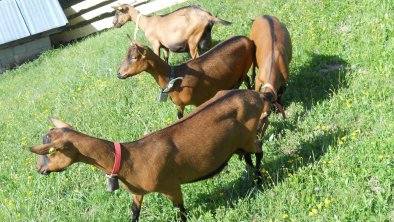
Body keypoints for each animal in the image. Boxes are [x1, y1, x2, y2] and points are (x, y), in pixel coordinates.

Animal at [29, 90, 272, 222]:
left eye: (51, 151)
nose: (40, 170)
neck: (129, 158)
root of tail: (256, 94)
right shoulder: (137, 193)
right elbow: (134, 213)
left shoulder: (170, 185)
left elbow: (180, 212)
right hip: (240, 141)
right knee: (248, 157)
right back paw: (253, 178)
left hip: (249, 135)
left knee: (259, 152)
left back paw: (259, 182)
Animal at [115, 35, 254, 118]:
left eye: (134, 57)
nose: (118, 73)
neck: (173, 78)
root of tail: (247, 39)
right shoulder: (180, 105)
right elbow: (179, 116)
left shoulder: (200, 100)